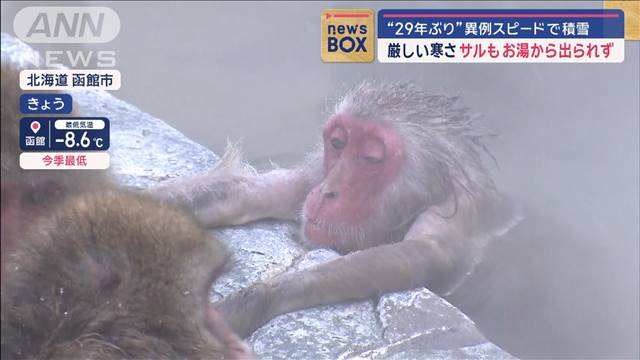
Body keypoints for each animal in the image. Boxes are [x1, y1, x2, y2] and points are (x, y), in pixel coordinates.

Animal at [151, 82, 636, 360]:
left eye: (370, 159)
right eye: (338, 144)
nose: (329, 192)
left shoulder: (453, 218)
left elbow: (419, 257)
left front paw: (246, 306)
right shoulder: (315, 174)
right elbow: (256, 192)